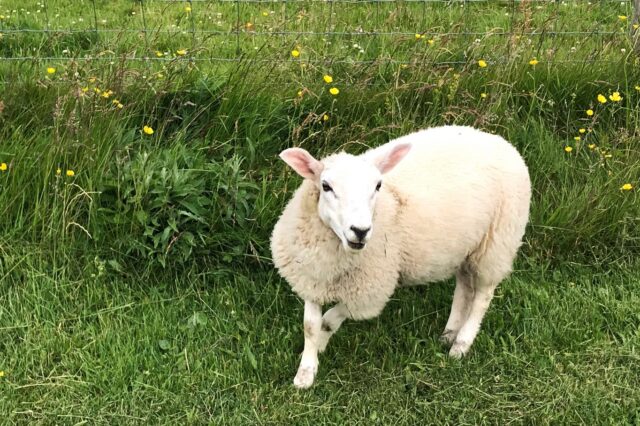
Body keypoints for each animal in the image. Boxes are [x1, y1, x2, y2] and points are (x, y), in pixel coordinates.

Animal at [270, 125, 528, 388]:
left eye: (377, 186)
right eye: (326, 186)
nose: (360, 231)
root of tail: (499, 140)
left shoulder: (370, 290)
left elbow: (330, 319)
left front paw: (321, 343)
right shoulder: (312, 277)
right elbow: (310, 326)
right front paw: (306, 370)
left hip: (497, 242)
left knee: (483, 296)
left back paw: (461, 343)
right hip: (466, 248)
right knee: (464, 287)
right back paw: (449, 334)